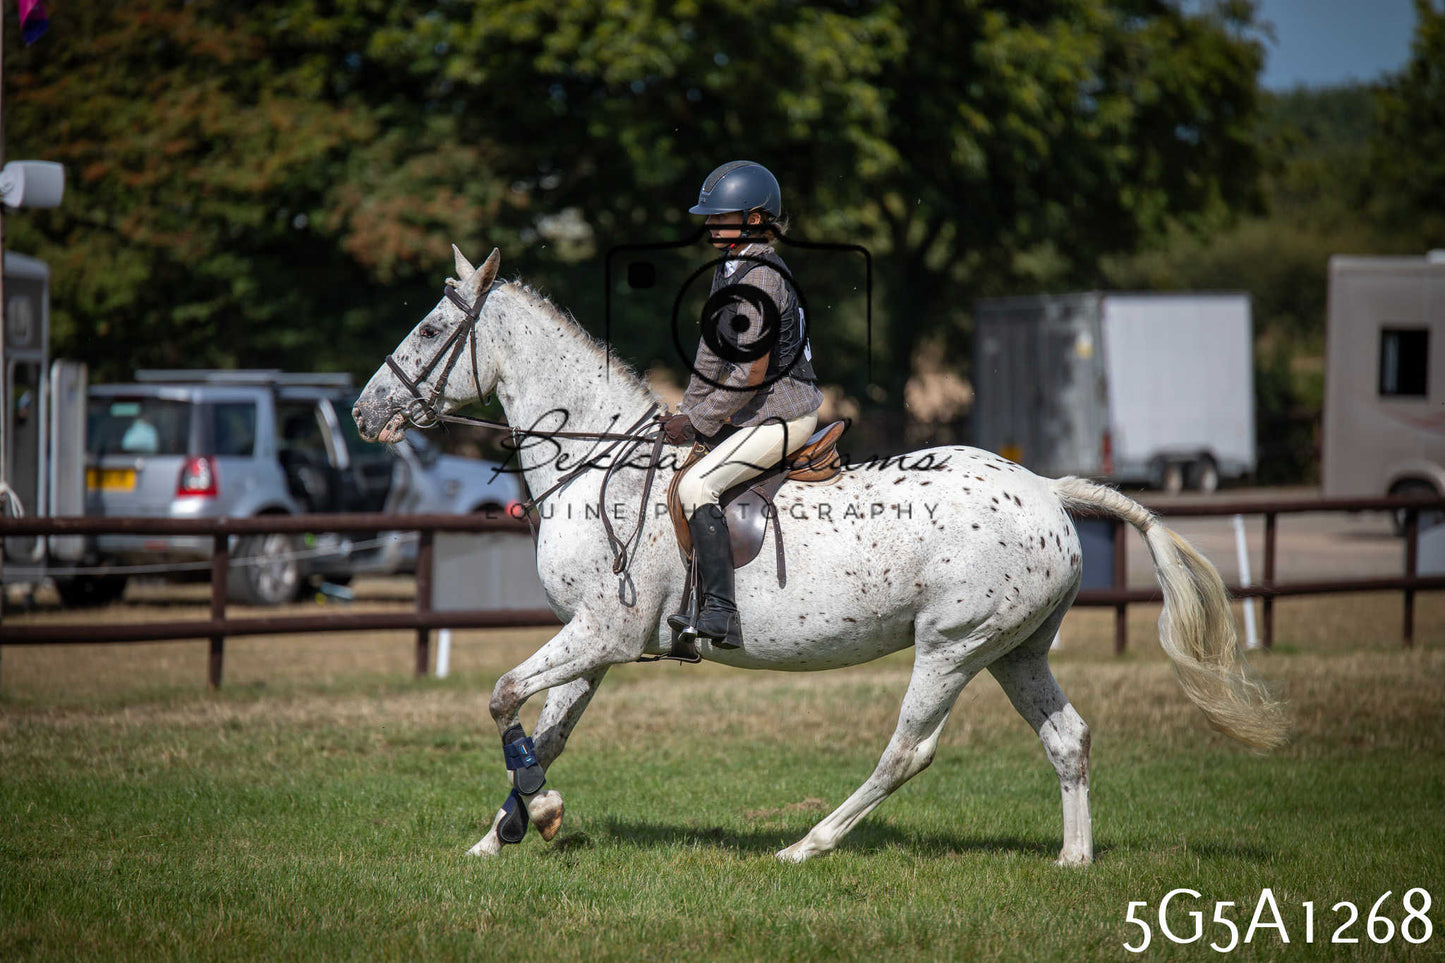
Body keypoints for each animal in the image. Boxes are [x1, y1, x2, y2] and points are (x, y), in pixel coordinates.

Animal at [353, 246, 1287, 864]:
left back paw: (808, 844)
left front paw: (532, 816)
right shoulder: (594, 642)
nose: (364, 413)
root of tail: (1049, 490)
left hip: (951, 645)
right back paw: (1073, 859)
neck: (599, 459)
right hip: (1015, 649)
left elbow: (502, 695)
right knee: (1067, 738)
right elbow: (543, 731)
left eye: (431, 328)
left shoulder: (604, 634)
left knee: (909, 749)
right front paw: (506, 830)